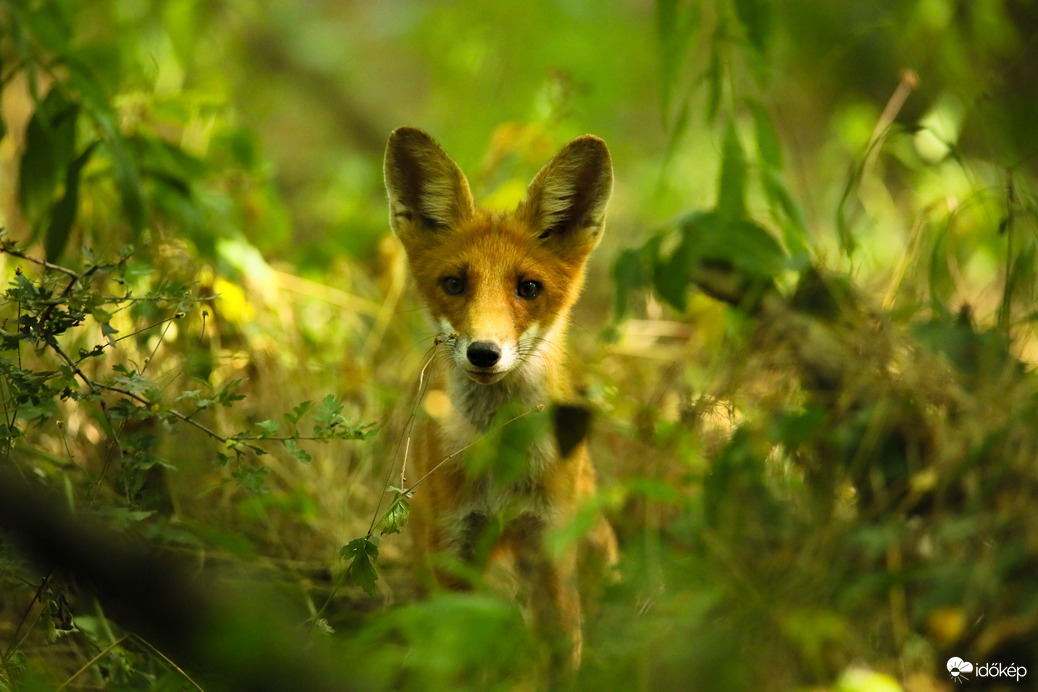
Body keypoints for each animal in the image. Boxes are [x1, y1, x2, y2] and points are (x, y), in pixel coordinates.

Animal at [386, 127, 618, 672]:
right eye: (453, 283)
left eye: (528, 288)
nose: (484, 353)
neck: (500, 467)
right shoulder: (454, 544)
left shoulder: (549, 549)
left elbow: (562, 657)